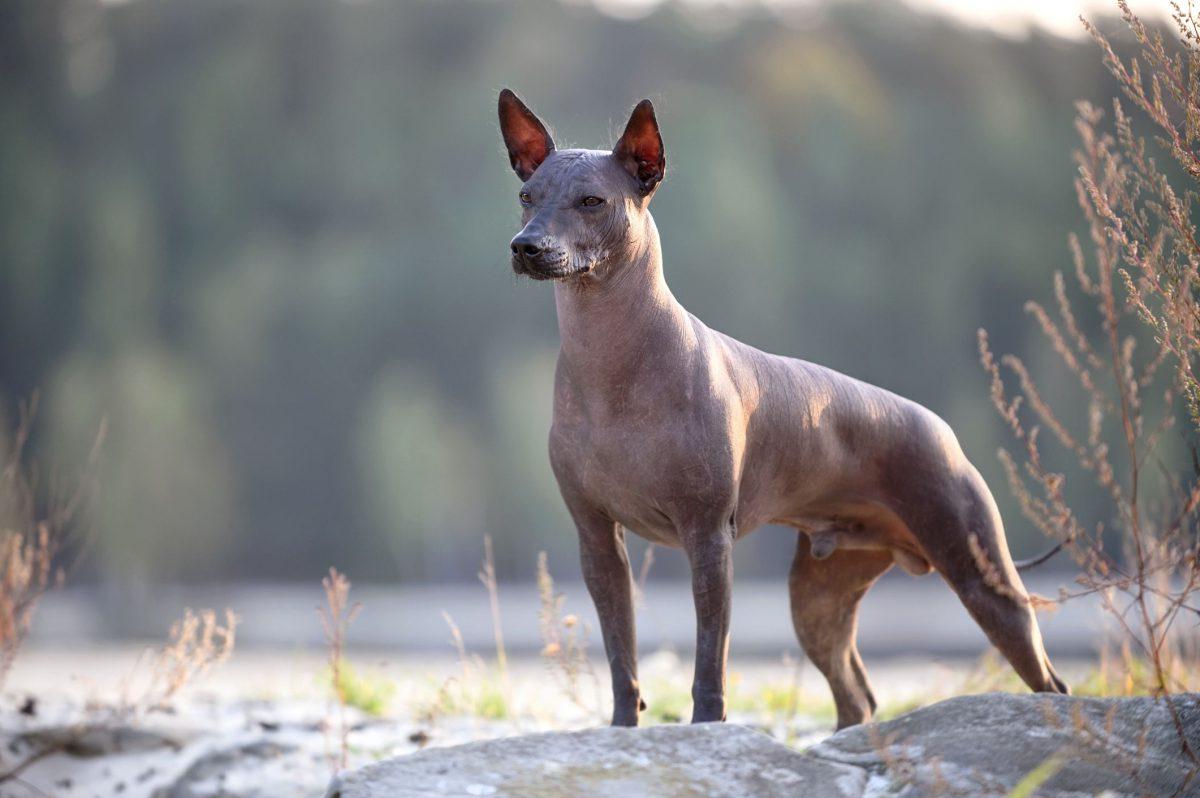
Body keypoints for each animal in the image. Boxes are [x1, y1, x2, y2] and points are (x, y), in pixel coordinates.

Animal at [496, 88, 1070, 729]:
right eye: (526, 197)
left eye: (592, 201)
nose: (527, 246)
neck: (610, 362)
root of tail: (942, 431)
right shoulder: (597, 541)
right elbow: (623, 654)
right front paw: (623, 730)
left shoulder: (708, 539)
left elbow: (710, 659)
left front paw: (706, 729)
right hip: (818, 597)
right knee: (856, 695)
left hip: (981, 578)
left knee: (1049, 681)